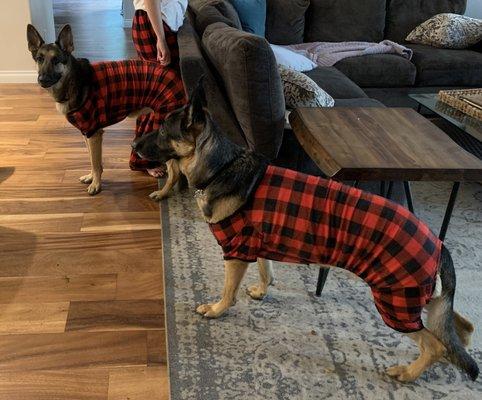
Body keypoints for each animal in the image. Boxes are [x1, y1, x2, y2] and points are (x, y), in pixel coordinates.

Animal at [26, 23, 185, 197]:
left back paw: (162, 193)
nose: (42, 79)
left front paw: (96, 184)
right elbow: (91, 159)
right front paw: (91, 177)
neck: (73, 81)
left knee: (175, 172)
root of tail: (178, 77)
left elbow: (96, 163)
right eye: (40, 59)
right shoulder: (87, 134)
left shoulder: (94, 134)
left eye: (56, 60)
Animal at [132, 80, 478, 382]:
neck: (220, 166)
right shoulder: (258, 245)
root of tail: (438, 244)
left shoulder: (236, 253)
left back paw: (409, 373)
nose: (133, 144)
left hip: (395, 302)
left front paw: (217, 310)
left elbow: (228, 292)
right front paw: (262, 291)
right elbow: (266, 270)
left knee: (434, 344)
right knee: (459, 328)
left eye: (162, 129)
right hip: (419, 300)